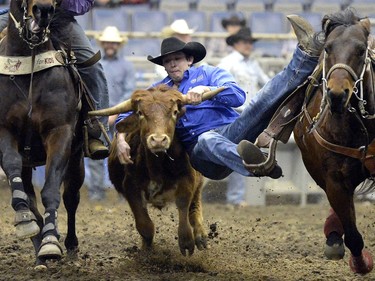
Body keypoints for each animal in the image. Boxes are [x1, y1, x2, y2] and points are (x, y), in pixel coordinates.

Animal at [0, 0, 85, 266]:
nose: (44, 10)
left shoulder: (60, 132)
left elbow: (51, 189)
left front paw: (50, 242)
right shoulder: (4, 129)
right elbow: (13, 166)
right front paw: (24, 220)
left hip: (77, 158)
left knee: (71, 197)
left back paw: (67, 244)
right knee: (29, 194)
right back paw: (38, 253)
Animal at [296, 9, 374, 274]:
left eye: (361, 49)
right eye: (328, 48)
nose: (338, 95)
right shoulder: (334, 180)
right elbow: (353, 236)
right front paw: (361, 263)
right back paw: (333, 238)